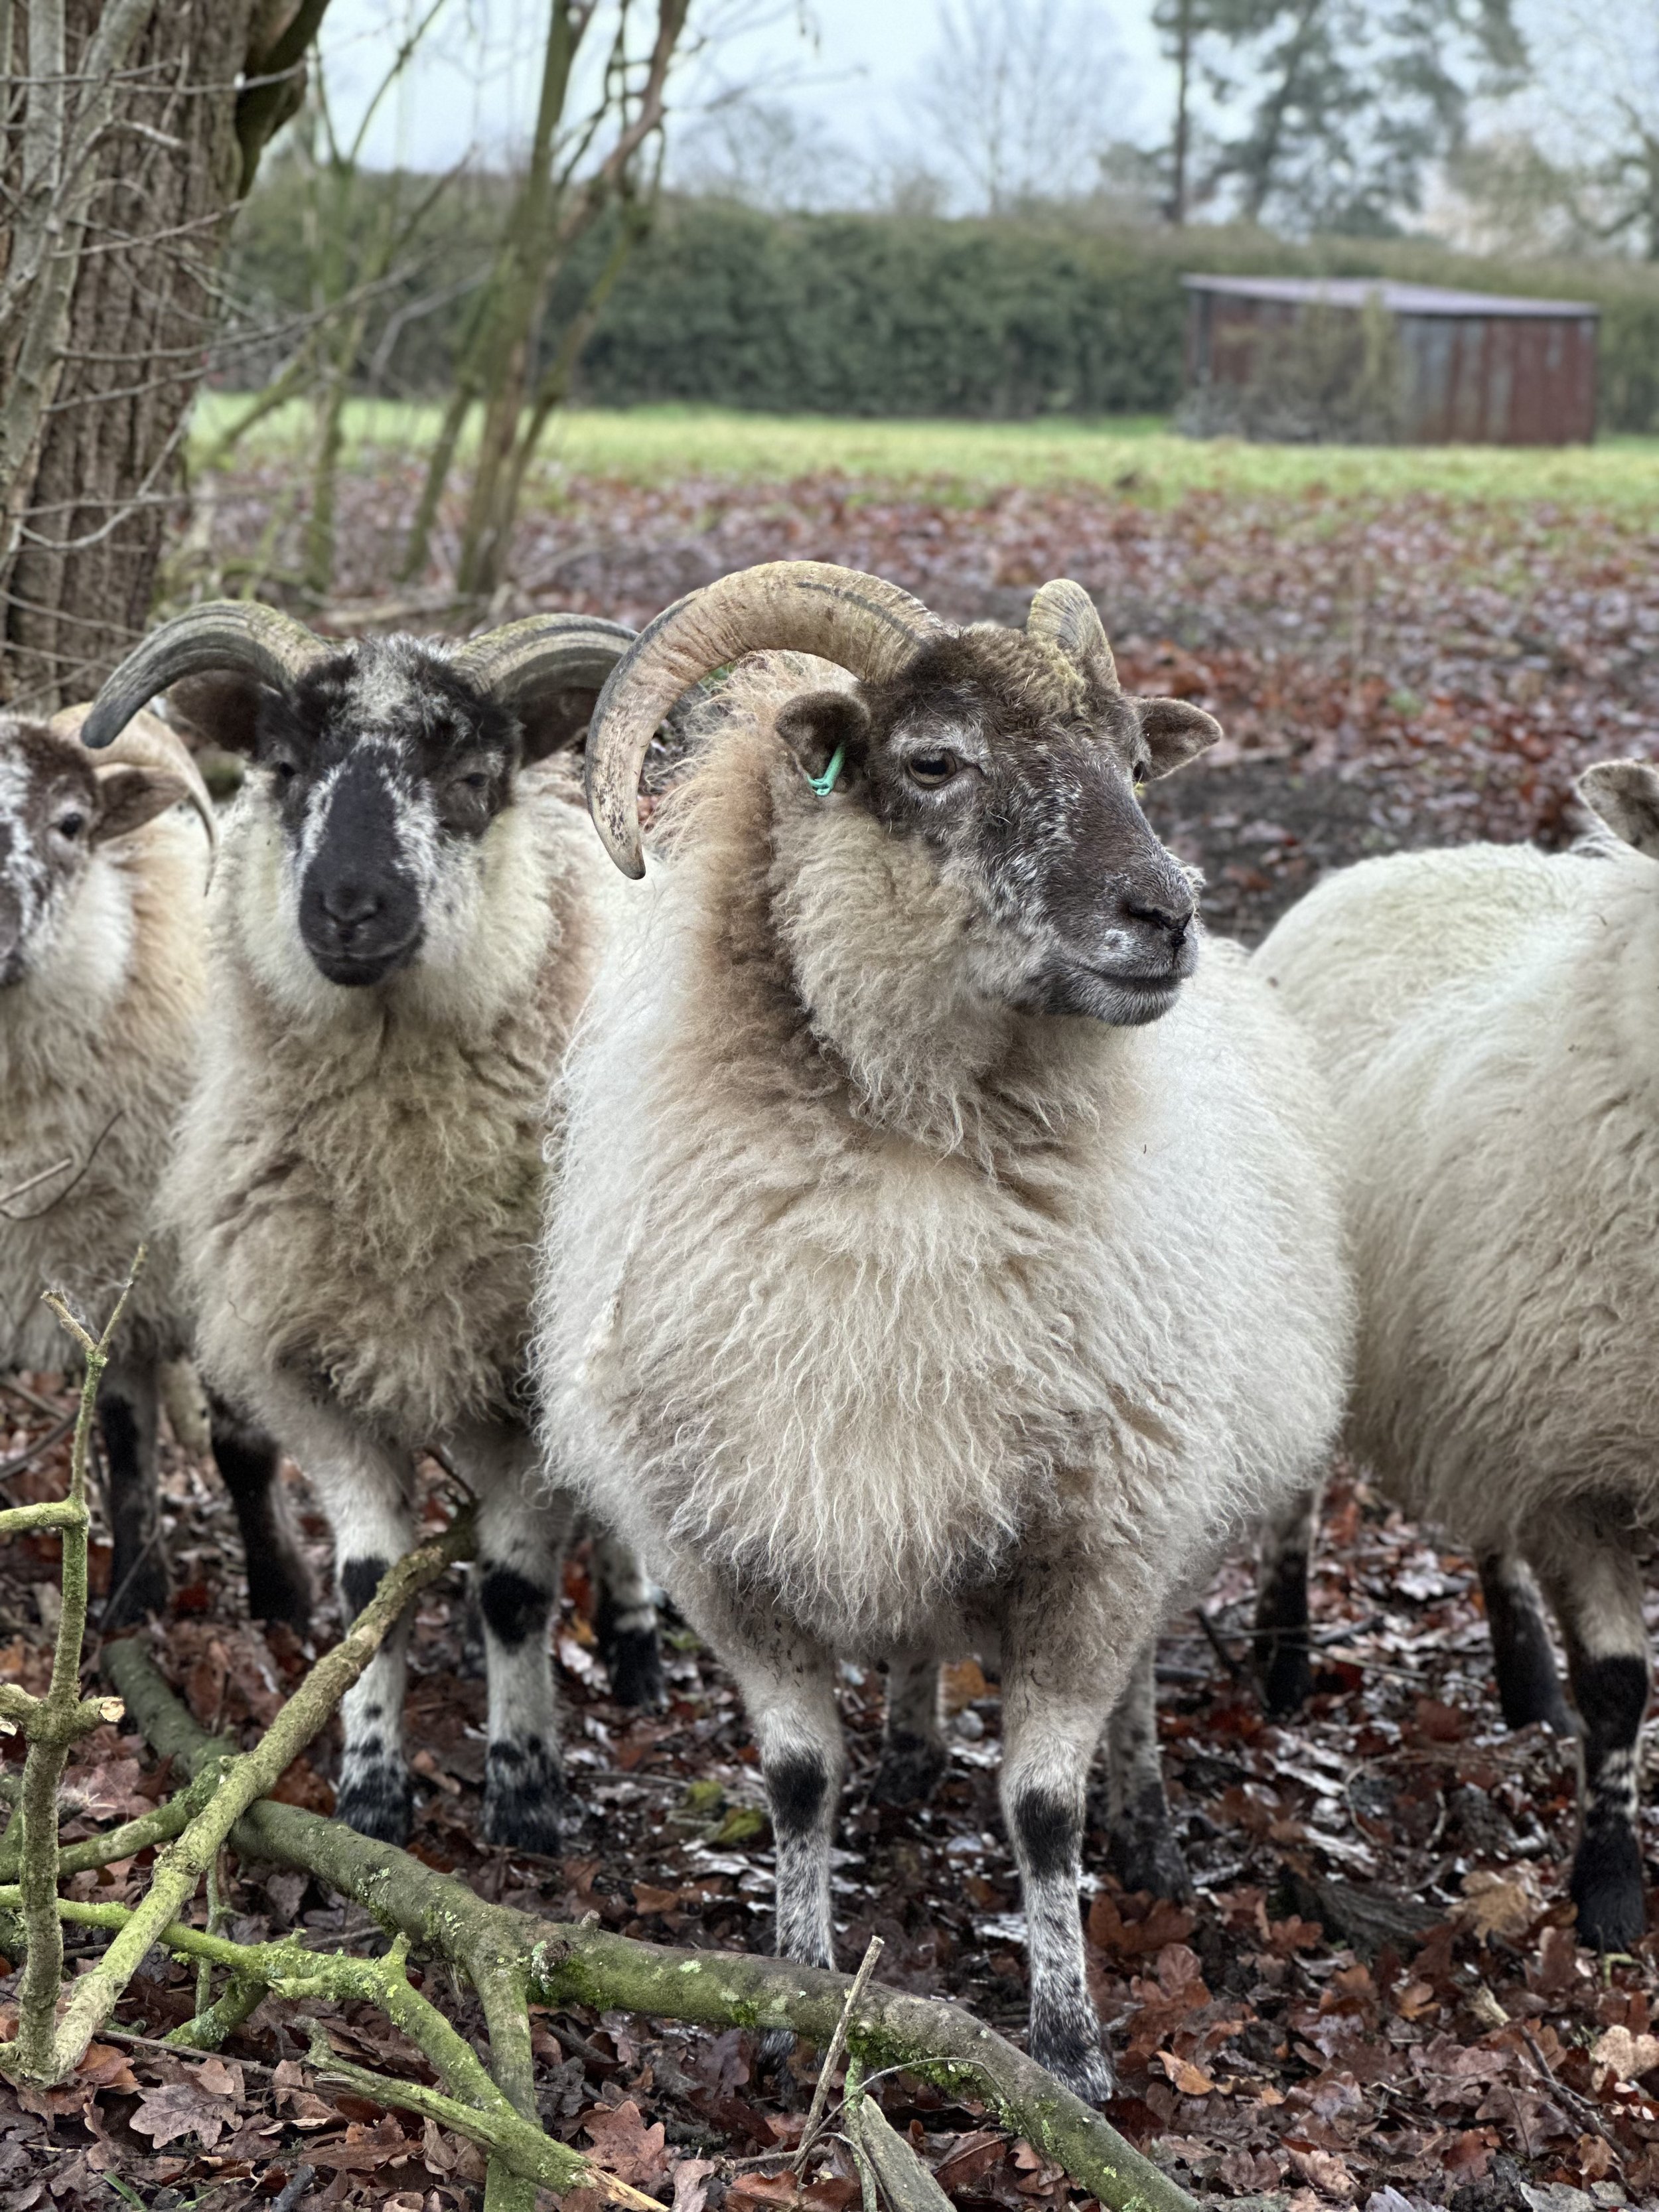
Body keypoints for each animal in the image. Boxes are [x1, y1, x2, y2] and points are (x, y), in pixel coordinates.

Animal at [1, 702, 312, 1629]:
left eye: (72, 823)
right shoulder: (100, 1275)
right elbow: (123, 1440)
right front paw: (130, 1602)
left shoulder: (228, 1265)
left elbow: (241, 1445)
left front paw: (285, 1598)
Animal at [82, 601, 665, 1852]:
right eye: (284, 767)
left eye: (474, 779)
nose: (350, 907)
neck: (401, 1176)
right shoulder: (316, 1369)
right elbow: (367, 1590)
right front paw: (370, 1786)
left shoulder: (526, 1380)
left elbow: (516, 1592)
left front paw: (527, 1790)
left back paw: (638, 1643)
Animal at [536, 559, 1353, 2099]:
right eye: (932, 762)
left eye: (1135, 763)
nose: (1166, 913)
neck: (910, 1170)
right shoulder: (725, 1539)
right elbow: (797, 1776)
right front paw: (792, 1991)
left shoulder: (1098, 1536)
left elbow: (1040, 1808)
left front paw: (1069, 2047)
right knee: (913, 1635)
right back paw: (913, 1751)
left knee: (1137, 1688)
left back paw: (1149, 1827)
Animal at [1251, 770, 1659, 1952]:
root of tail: (1401, 860)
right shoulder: (1581, 1468)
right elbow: (1622, 1684)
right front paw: (1610, 1892)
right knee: (1297, 1499)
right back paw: (1284, 1660)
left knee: (1490, 1527)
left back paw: (1527, 1683)